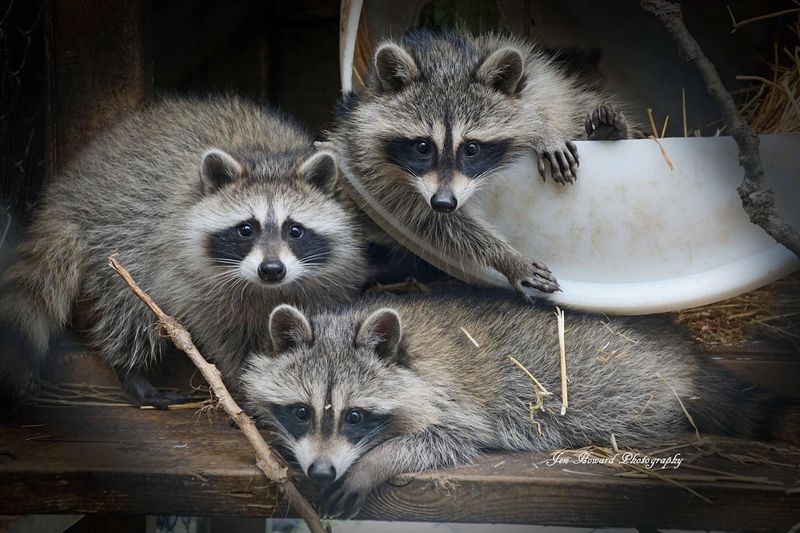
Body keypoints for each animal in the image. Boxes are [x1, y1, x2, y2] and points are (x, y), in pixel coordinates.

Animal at [0, 95, 368, 412]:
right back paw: (131, 370)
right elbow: (225, 336)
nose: (271, 269)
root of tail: (72, 189)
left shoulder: (327, 280)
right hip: (122, 237)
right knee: (130, 308)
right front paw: (249, 384)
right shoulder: (193, 279)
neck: (266, 157)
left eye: (295, 230)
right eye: (246, 229)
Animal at [244, 288, 800, 516]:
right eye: (301, 412)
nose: (320, 472)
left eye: (355, 416)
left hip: (620, 389)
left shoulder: (455, 397)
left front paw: (375, 462)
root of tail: (684, 353)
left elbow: (447, 438)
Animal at [328, 30, 636, 300]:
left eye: (472, 149)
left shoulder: (534, 80)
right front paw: (505, 256)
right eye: (423, 147)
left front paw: (540, 129)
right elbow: (433, 223)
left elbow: (538, 104)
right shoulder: (371, 167)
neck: (446, 63)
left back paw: (608, 129)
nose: (443, 202)